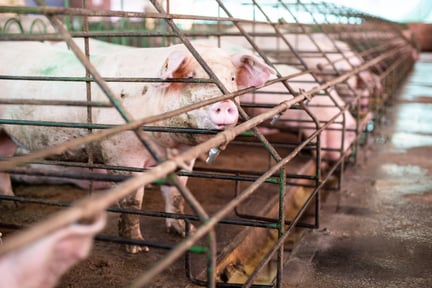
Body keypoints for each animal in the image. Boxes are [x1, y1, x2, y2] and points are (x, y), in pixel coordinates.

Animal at [0, 41, 276, 253]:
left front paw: (185, 232)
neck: (167, 146)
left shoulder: (183, 158)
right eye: (191, 78)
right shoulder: (121, 153)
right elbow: (133, 201)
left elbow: (177, 193)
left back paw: (12, 205)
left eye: (231, 78)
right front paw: (137, 248)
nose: (226, 106)